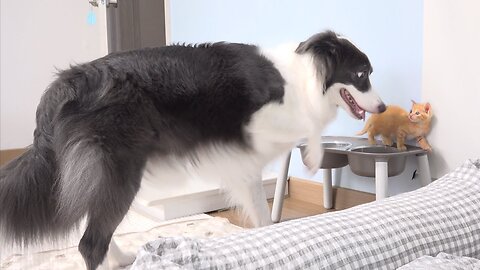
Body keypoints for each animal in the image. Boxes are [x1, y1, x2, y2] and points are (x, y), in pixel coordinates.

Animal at [0, 30, 384, 268]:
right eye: (361, 74)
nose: (381, 108)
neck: (306, 77)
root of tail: (67, 83)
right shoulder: (250, 130)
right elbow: (309, 127)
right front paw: (314, 156)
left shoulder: (244, 160)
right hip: (121, 170)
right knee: (89, 241)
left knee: (92, 225)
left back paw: (120, 258)